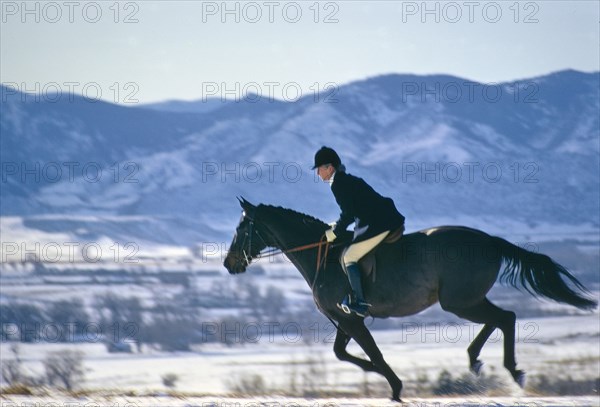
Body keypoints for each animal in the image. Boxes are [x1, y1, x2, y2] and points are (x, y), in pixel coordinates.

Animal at [224, 199, 596, 404]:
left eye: (242, 228)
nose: (229, 264)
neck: (323, 256)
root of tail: (490, 240)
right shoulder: (344, 318)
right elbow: (342, 353)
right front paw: (380, 375)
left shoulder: (350, 318)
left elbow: (370, 352)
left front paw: (395, 386)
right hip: (466, 299)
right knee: (502, 318)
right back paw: (479, 361)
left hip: (459, 302)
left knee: (506, 317)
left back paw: (507, 369)